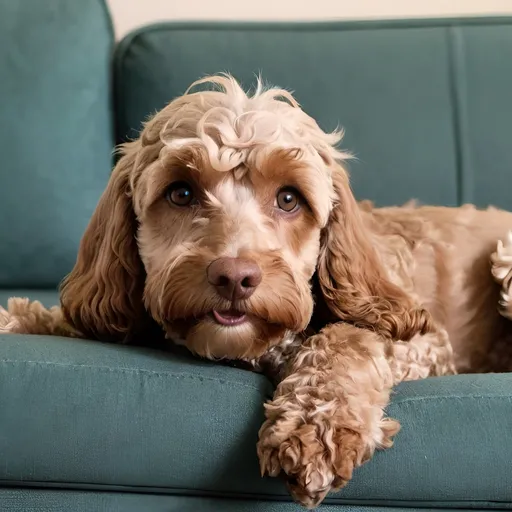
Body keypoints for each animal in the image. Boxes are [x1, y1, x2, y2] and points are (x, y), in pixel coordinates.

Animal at [3, 73, 512, 508]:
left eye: (289, 199)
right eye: (181, 193)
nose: (234, 276)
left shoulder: (424, 340)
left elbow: (348, 336)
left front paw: (315, 426)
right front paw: (20, 318)